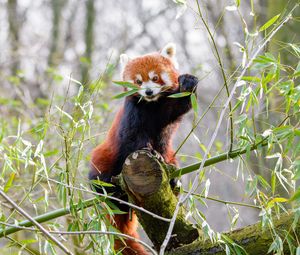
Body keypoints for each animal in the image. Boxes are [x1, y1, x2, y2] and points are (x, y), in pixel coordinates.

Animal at [89, 42, 197, 254]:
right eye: (138, 81)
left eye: (155, 78)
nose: (148, 92)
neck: (151, 104)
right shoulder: (133, 113)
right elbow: (133, 137)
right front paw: (149, 150)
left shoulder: (166, 110)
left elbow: (178, 106)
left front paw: (188, 83)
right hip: (105, 157)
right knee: (100, 174)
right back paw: (110, 190)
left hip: (170, 154)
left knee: (171, 162)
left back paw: (174, 181)